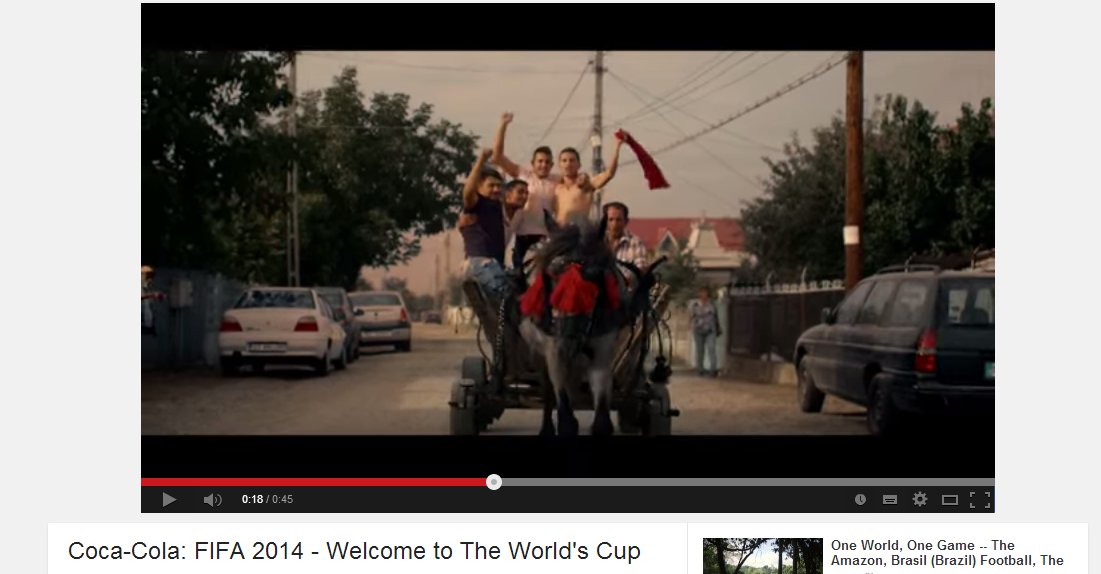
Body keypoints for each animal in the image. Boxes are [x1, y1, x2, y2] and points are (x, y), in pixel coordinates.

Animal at [517, 212, 627, 437]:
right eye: (553, 275)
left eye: (594, 276)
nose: (570, 334)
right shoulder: (554, 350)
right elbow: (566, 419)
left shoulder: (602, 353)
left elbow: (602, 422)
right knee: (547, 388)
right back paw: (546, 427)